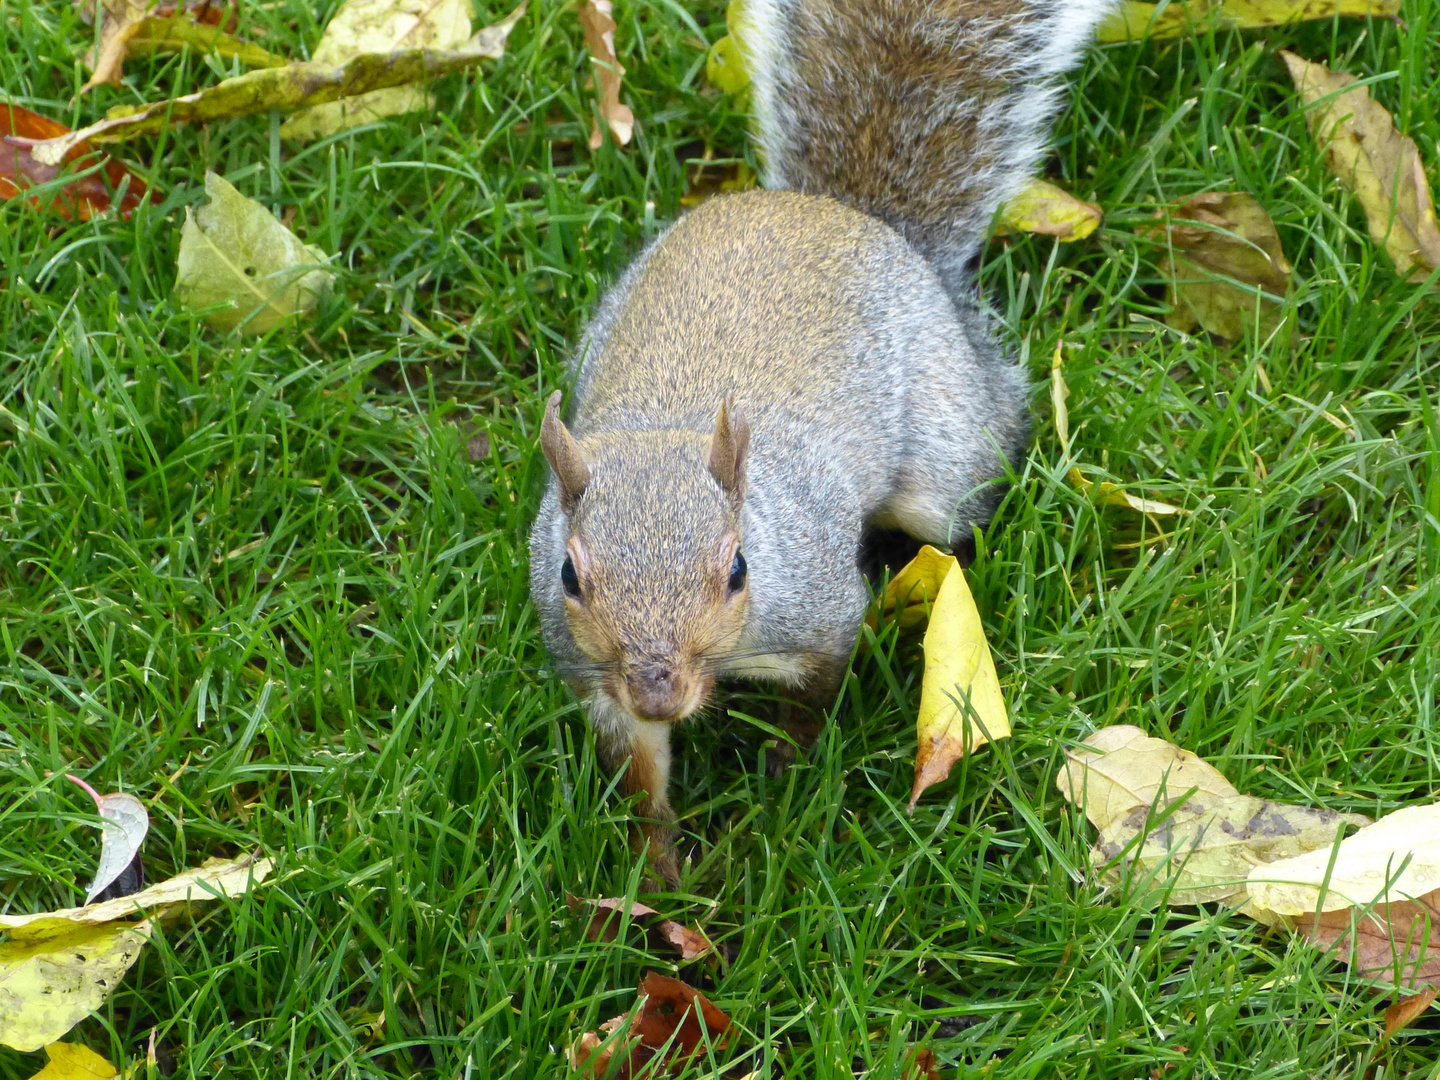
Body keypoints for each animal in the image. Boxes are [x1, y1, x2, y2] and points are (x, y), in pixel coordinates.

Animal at [529, 0, 1111, 887]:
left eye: (738, 570)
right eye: (569, 575)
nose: (660, 692)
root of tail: (845, 212)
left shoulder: (821, 613)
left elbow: (818, 696)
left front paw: (786, 769)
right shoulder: (594, 676)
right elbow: (636, 772)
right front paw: (658, 870)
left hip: (943, 452)